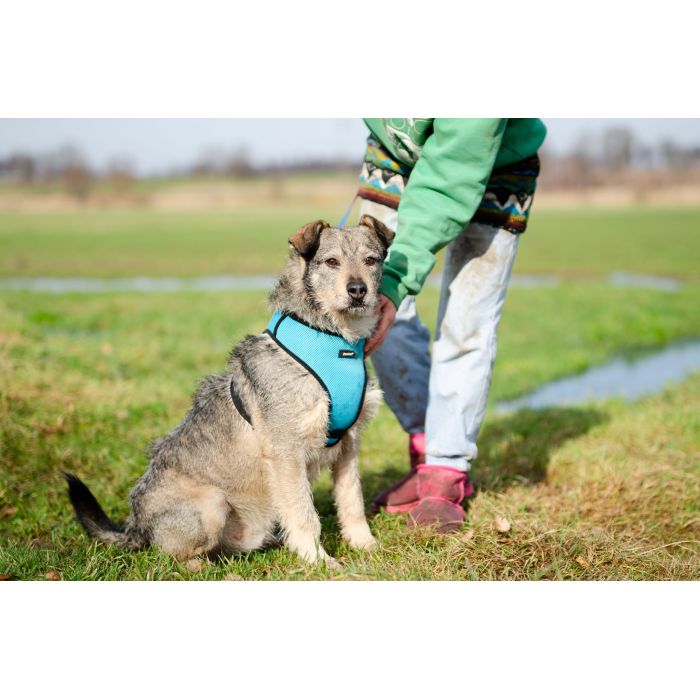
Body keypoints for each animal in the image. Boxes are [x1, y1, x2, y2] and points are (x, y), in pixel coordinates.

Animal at [65, 216, 394, 568]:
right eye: (331, 262)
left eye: (371, 260)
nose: (358, 291)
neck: (334, 340)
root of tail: (135, 525)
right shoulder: (287, 451)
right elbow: (305, 514)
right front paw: (317, 560)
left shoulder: (348, 446)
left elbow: (352, 501)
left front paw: (365, 545)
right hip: (213, 502)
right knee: (168, 554)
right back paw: (202, 566)